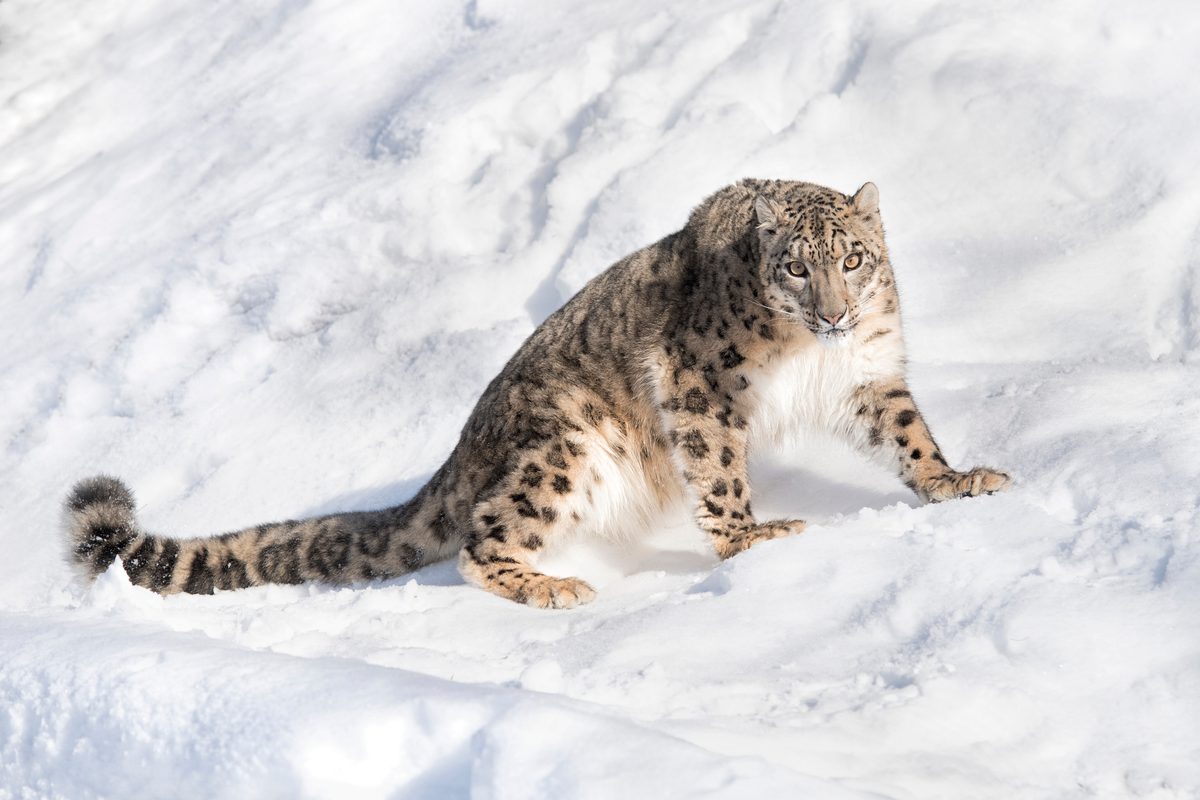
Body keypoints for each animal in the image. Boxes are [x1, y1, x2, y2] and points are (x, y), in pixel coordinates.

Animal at [63, 179, 1011, 609]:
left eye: (852, 257)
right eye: (795, 267)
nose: (834, 312)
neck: (810, 356)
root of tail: (466, 442)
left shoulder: (869, 376)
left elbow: (907, 432)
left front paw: (958, 481)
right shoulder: (700, 388)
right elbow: (718, 471)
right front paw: (754, 538)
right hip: (564, 450)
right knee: (480, 542)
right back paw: (553, 586)